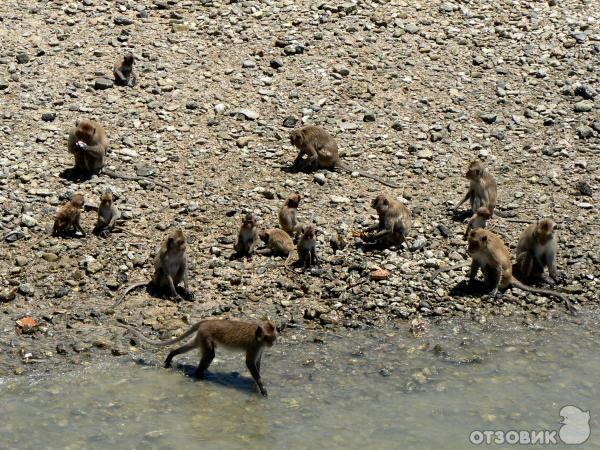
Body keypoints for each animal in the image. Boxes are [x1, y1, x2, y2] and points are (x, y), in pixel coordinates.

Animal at [118, 318, 278, 396]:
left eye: (274, 337)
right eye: (269, 338)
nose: (273, 343)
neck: (258, 336)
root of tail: (207, 321)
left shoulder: (259, 347)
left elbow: (256, 363)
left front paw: (256, 385)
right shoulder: (254, 345)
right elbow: (250, 363)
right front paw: (262, 389)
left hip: (201, 334)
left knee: (195, 347)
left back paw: (172, 355)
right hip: (206, 334)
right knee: (210, 354)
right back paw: (199, 375)